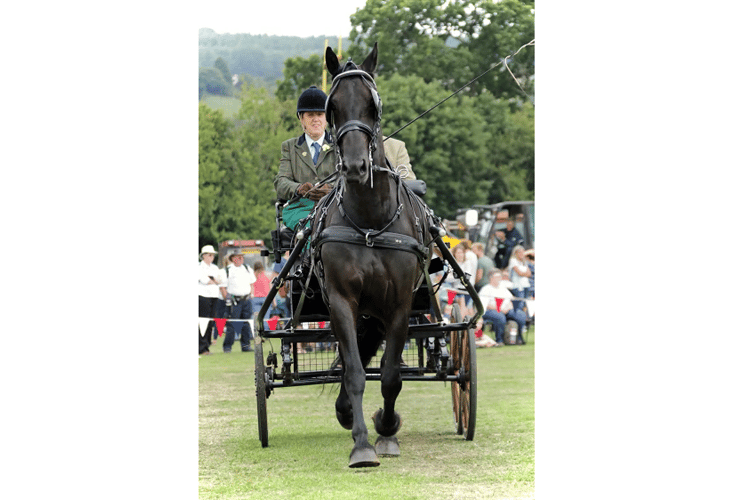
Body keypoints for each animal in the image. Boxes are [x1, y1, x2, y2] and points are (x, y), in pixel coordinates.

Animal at [306, 44, 434, 468]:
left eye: (372, 104)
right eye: (332, 107)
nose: (355, 166)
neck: (370, 220)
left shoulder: (400, 303)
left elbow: (391, 374)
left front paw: (386, 429)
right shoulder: (342, 300)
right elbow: (355, 372)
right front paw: (361, 443)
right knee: (355, 359)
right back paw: (347, 412)